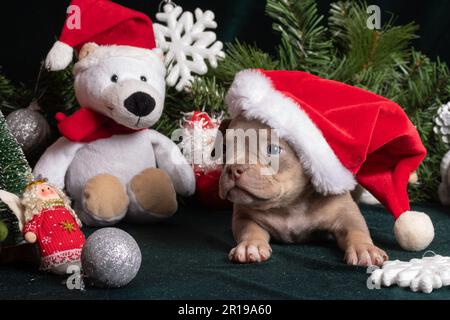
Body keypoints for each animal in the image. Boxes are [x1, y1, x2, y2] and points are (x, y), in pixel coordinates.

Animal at [218, 116, 386, 266]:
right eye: (224, 148)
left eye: (272, 149)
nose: (233, 169)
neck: (289, 204)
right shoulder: (245, 216)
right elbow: (249, 230)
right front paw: (250, 246)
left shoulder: (345, 214)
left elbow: (356, 229)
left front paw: (365, 248)